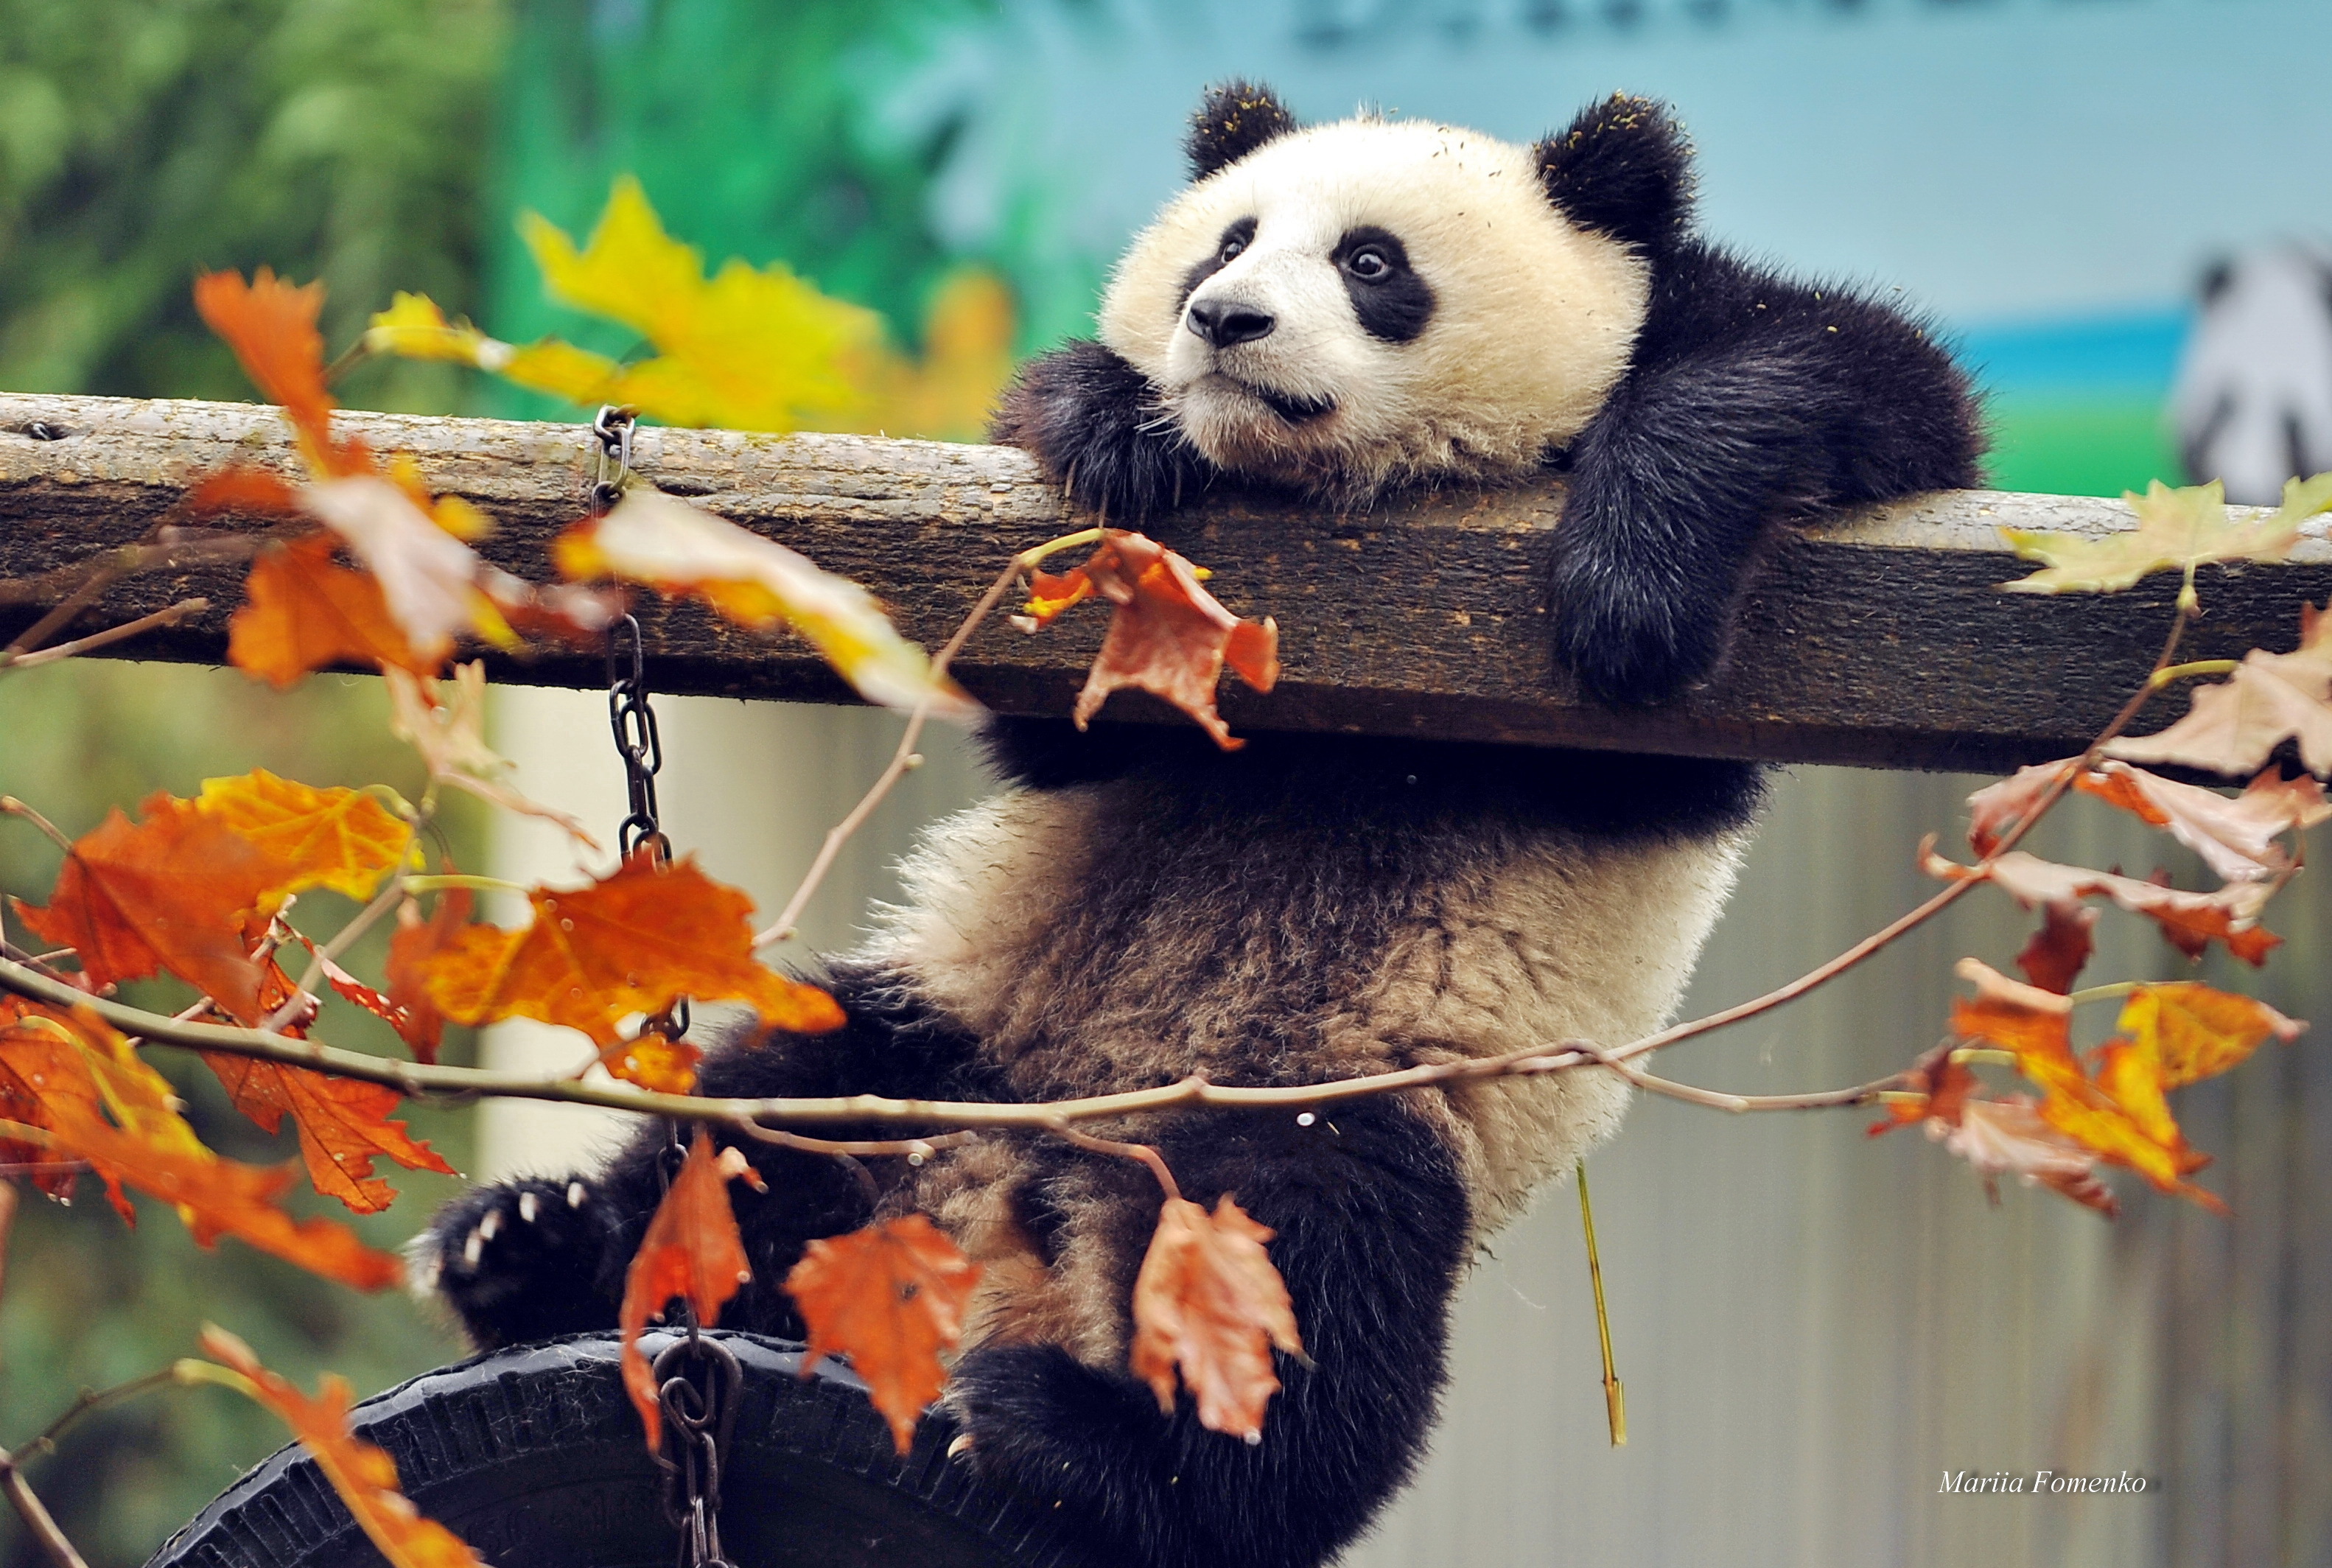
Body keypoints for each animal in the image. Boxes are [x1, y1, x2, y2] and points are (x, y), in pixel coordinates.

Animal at [422, 83, 1981, 1568]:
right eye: (1222, 242)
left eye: (1370, 262)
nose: (1222, 319)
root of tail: (1023, 1209)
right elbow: (1065, 717)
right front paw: (1114, 423)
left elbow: (1856, 384)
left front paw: (1632, 583)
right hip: (955, 1030)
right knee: (772, 1114)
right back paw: (532, 1246)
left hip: (1339, 1092)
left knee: (1312, 1286)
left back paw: (1094, 1448)